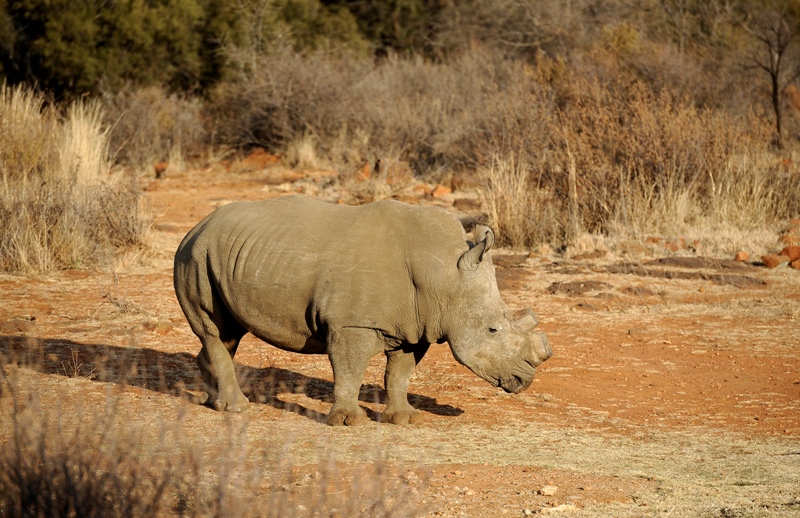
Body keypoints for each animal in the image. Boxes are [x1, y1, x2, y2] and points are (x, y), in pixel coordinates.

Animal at [173, 195, 551, 426]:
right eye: (492, 330)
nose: (525, 380)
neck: (442, 273)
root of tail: (197, 225)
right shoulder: (351, 324)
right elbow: (350, 371)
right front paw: (348, 421)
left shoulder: (413, 327)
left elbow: (399, 374)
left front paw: (405, 419)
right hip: (194, 255)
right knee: (213, 329)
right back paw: (238, 409)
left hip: (218, 255)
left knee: (227, 334)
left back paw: (212, 402)